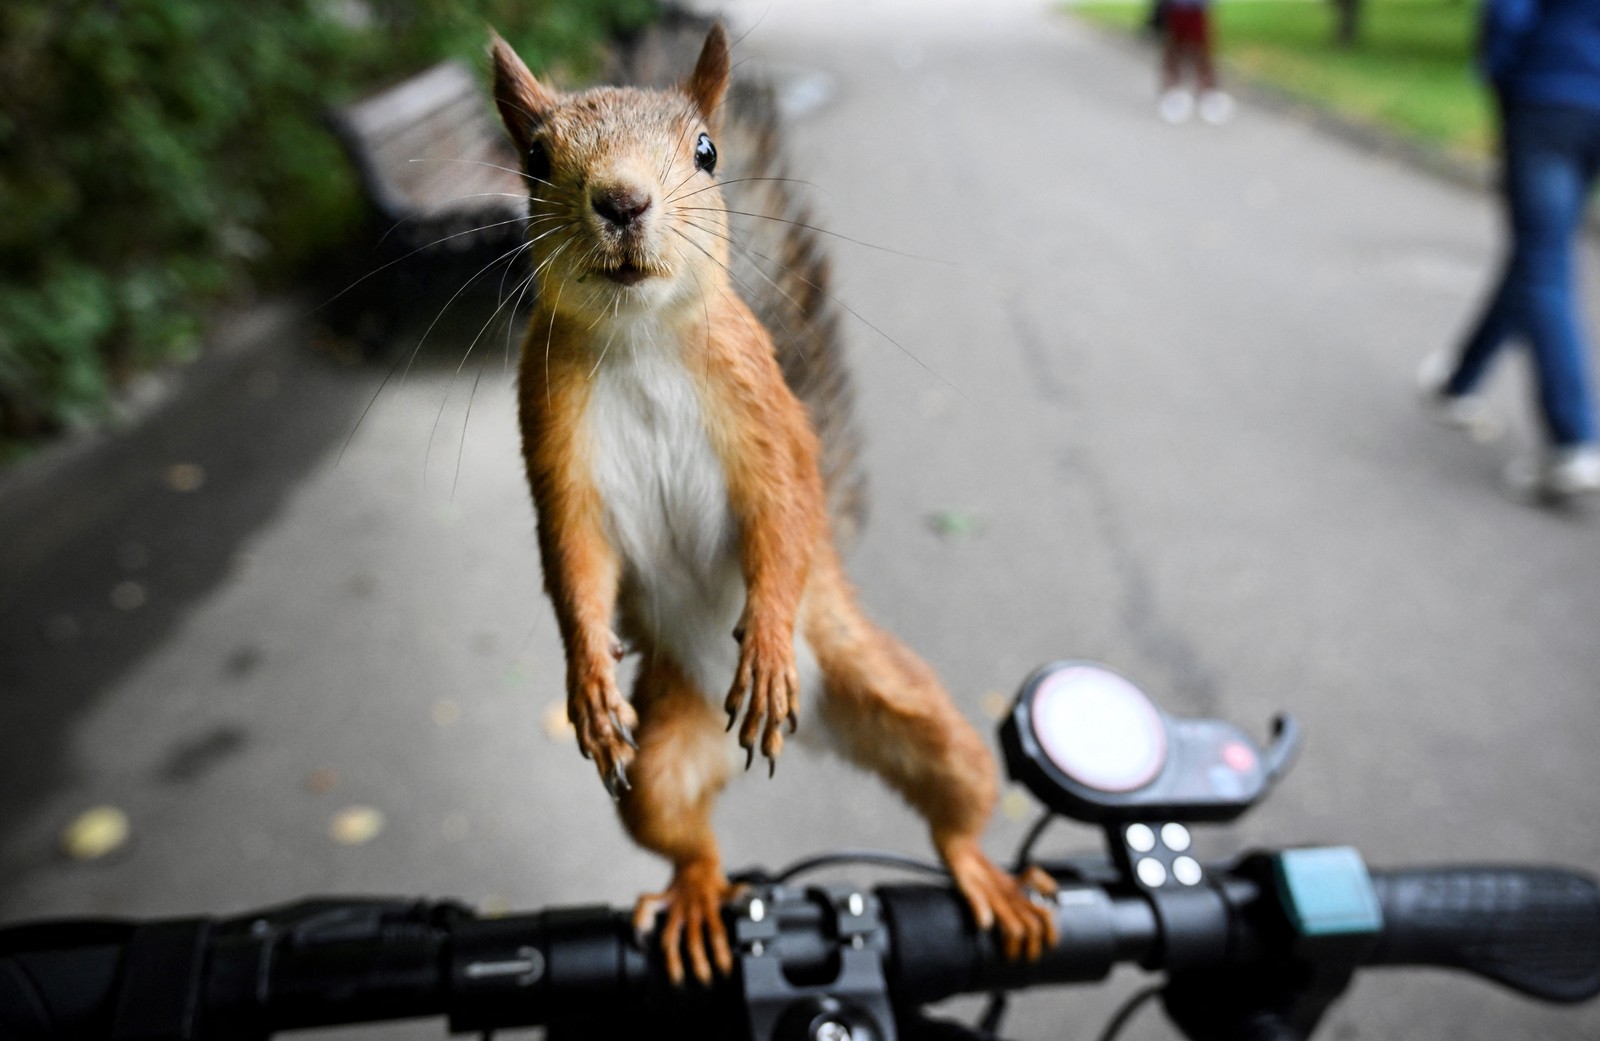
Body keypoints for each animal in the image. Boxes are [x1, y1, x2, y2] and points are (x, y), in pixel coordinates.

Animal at [489, 22, 1057, 985]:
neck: (641, 337)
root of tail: (820, 727)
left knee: (956, 796)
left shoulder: (767, 417)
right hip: (668, 743)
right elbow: (573, 560)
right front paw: (590, 680)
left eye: (706, 152)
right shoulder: (552, 439)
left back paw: (980, 867)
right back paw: (694, 894)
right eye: (535, 157)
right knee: (682, 833)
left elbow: (783, 519)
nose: (623, 200)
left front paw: (762, 645)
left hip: (896, 693)